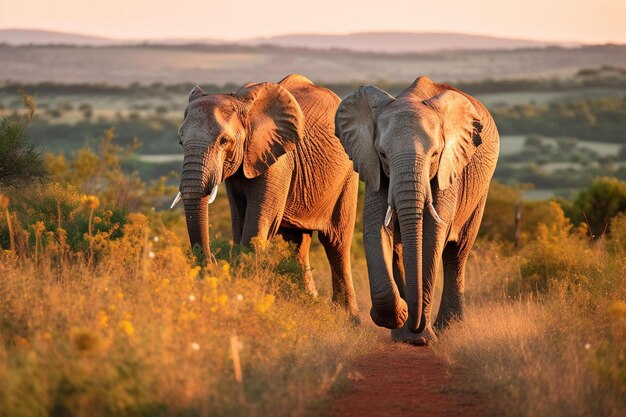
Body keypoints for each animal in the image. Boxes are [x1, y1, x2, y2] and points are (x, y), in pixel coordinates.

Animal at [171, 74, 358, 316]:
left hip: (347, 175)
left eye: (224, 141)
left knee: (336, 243)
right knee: (297, 243)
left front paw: (246, 293)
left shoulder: (278, 160)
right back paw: (307, 303)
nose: (212, 261)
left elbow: (258, 225)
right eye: (180, 141)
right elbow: (240, 221)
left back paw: (347, 318)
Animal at [334, 76, 500, 342]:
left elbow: (432, 234)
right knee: (401, 251)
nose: (414, 324)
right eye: (383, 155)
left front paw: (421, 340)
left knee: (457, 253)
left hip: (480, 189)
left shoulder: (448, 168)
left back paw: (449, 329)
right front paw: (401, 318)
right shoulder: (373, 168)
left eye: (434, 155)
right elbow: (375, 229)